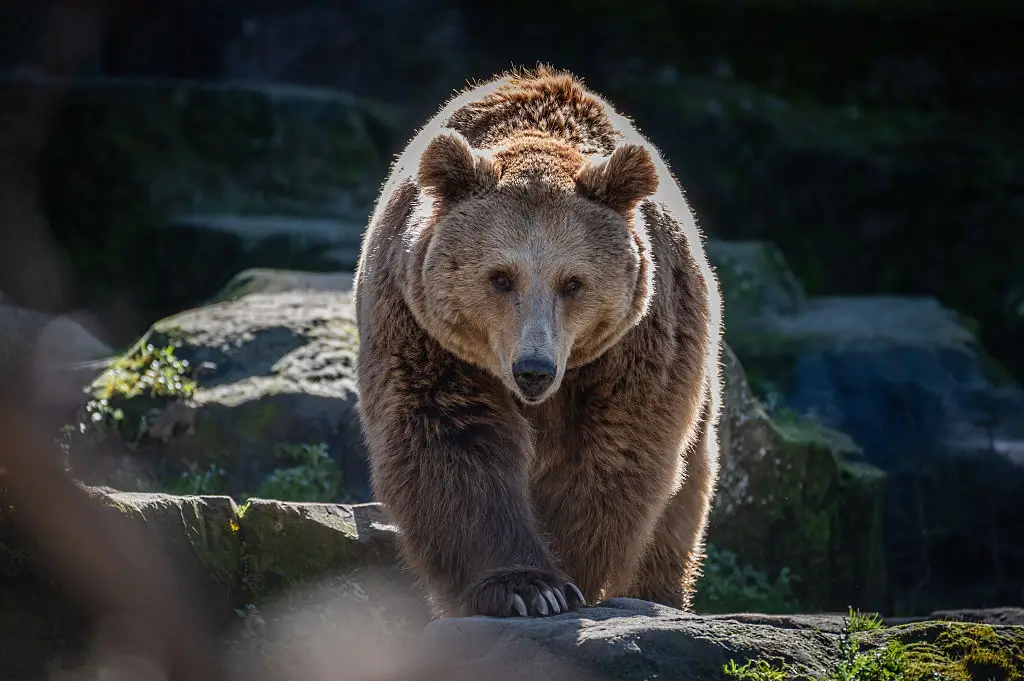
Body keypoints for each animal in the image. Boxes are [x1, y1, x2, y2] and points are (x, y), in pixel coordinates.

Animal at [353, 65, 723, 619]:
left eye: (572, 282)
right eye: (500, 277)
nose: (534, 368)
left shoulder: (637, 343)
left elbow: (614, 451)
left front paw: (570, 577)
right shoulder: (422, 328)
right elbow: (454, 440)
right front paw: (527, 587)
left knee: (684, 497)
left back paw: (660, 595)